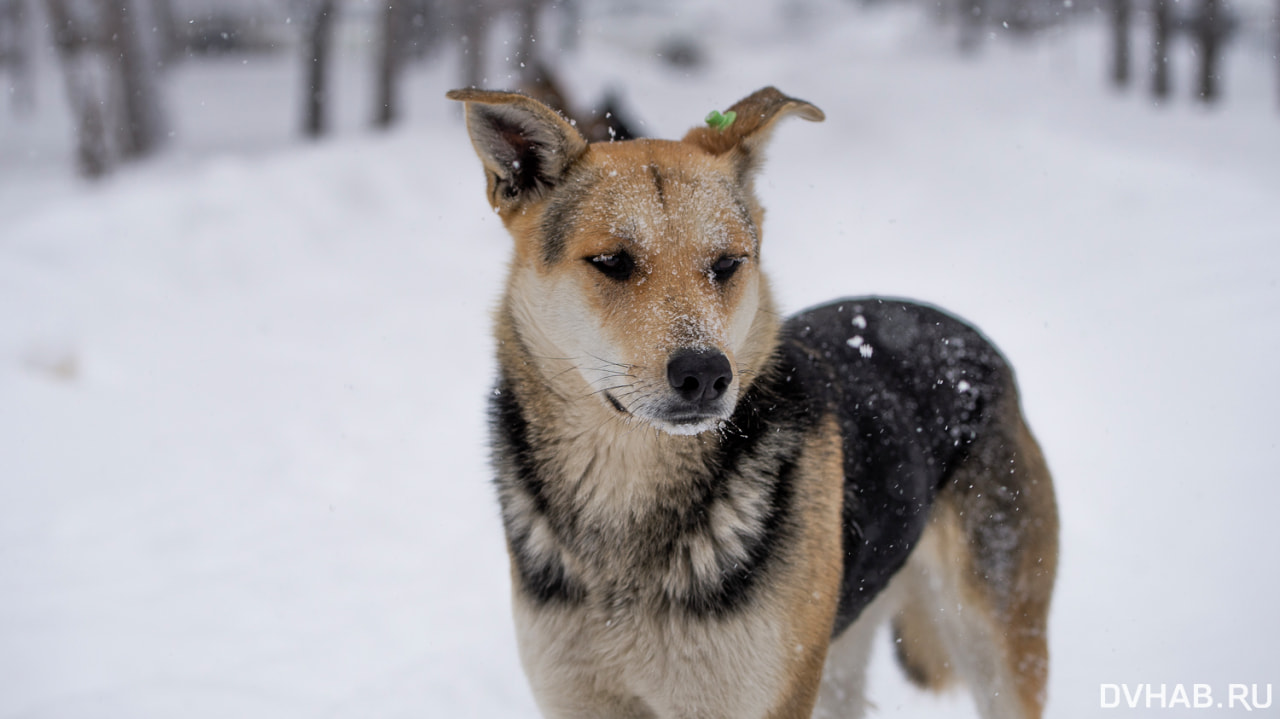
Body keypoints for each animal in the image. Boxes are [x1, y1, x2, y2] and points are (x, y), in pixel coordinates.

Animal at [448, 85, 1059, 716]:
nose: (706, 374)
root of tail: (966, 337)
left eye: (726, 265)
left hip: (995, 643)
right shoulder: (578, 696)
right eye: (613, 262)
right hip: (840, 651)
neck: (626, 494)